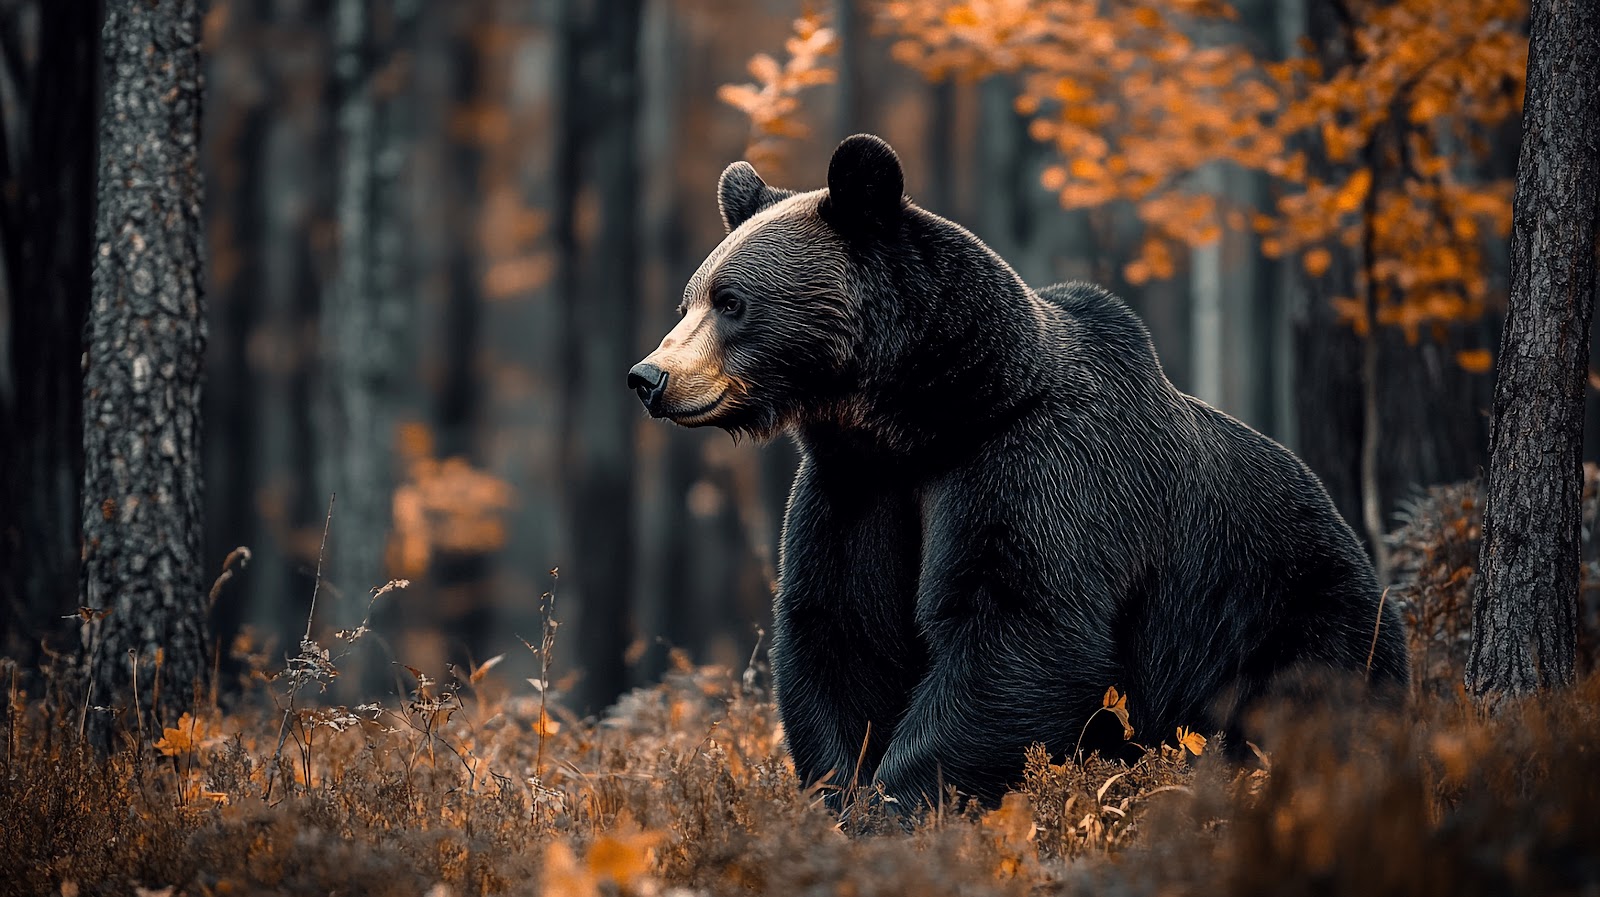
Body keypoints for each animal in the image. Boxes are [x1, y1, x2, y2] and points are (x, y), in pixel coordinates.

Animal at [628, 134, 1409, 814]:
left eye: (733, 303)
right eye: (691, 300)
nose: (648, 376)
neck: (925, 419)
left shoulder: (1037, 468)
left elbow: (1019, 626)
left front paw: (901, 803)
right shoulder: (857, 490)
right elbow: (841, 629)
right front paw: (841, 794)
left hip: (1285, 607)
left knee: (1319, 693)